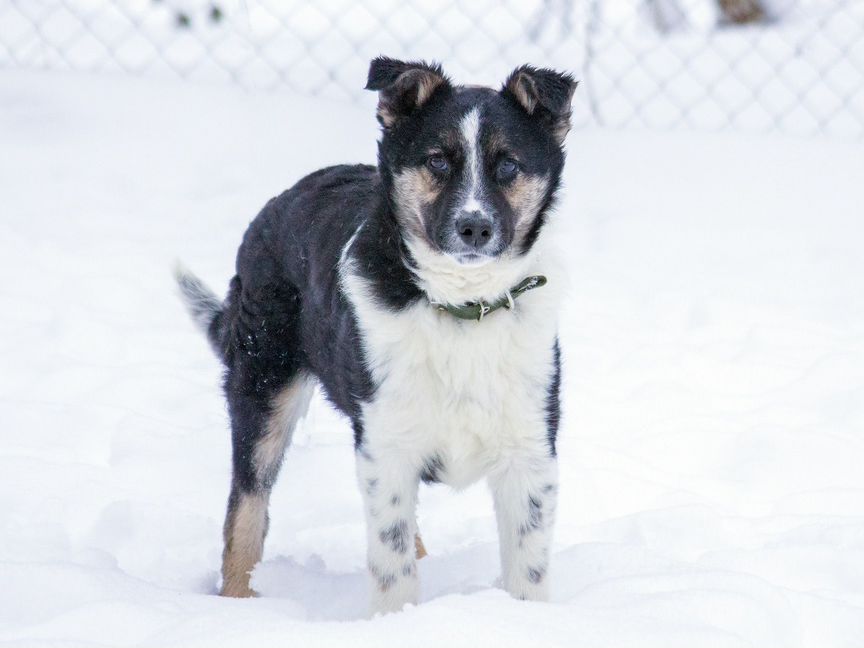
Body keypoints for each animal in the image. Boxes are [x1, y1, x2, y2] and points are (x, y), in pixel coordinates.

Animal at [176, 55, 576, 612]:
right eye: (437, 161)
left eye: (509, 165)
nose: (474, 228)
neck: (462, 306)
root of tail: (277, 203)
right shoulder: (386, 444)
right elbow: (393, 564)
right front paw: (398, 619)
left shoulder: (530, 446)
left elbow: (527, 569)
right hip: (263, 383)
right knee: (246, 508)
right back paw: (236, 603)